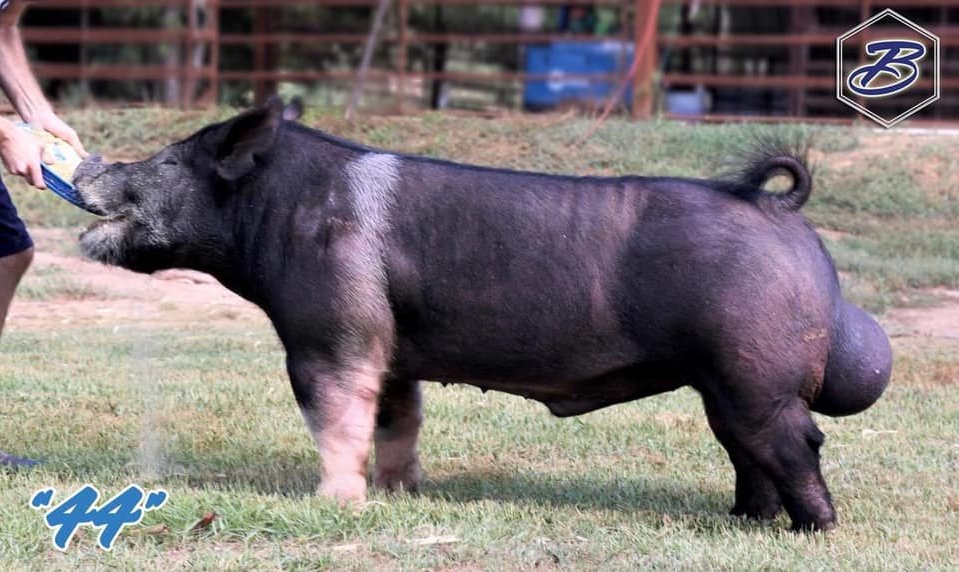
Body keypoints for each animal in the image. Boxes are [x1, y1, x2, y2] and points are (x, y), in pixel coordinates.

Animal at [74, 98, 892, 531]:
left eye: (169, 163)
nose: (88, 165)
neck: (279, 212)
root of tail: (780, 210)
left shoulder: (331, 332)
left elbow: (336, 418)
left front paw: (336, 502)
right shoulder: (389, 347)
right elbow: (396, 420)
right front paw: (399, 492)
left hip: (757, 375)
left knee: (796, 444)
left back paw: (813, 533)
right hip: (726, 385)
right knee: (747, 453)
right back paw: (744, 521)